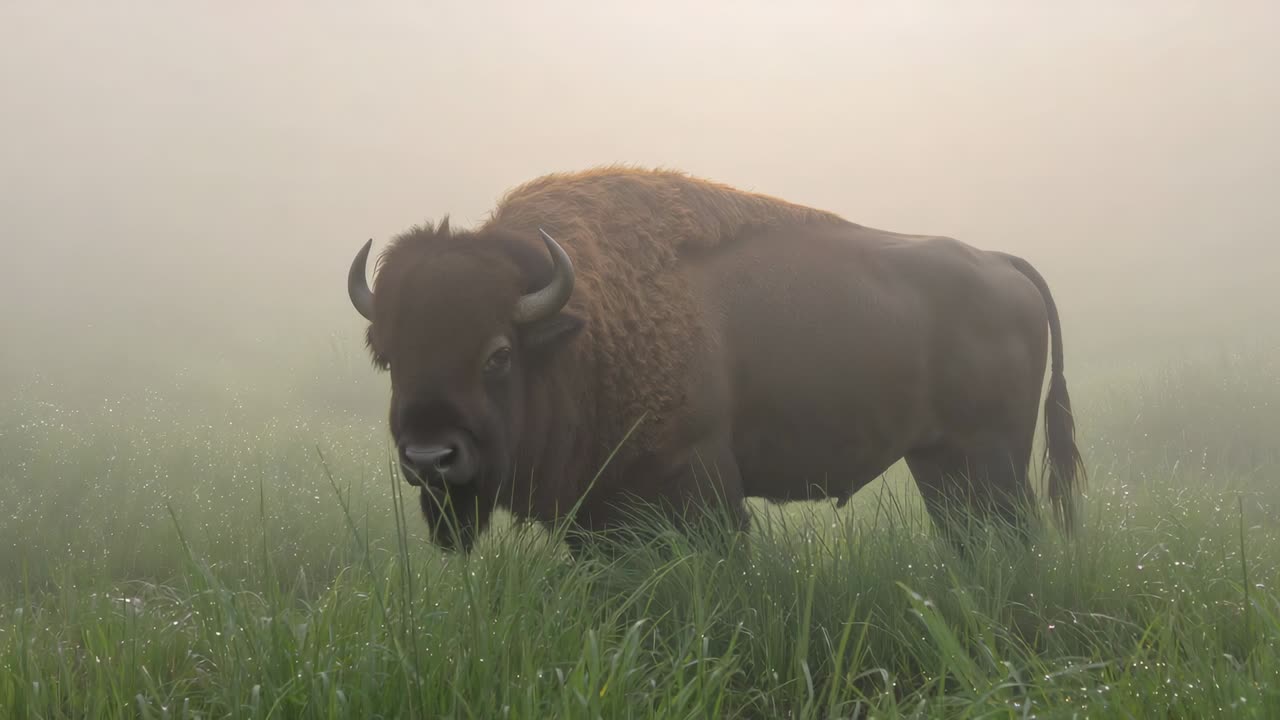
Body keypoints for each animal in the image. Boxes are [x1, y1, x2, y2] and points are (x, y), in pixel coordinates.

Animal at [346, 166, 1085, 553]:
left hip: (991, 460)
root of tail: (1002, 264)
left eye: (497, 354)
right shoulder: (595, 509)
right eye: (389, 356)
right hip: (939, 463)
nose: (430, 457)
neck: (587, 326)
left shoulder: (698, 480)